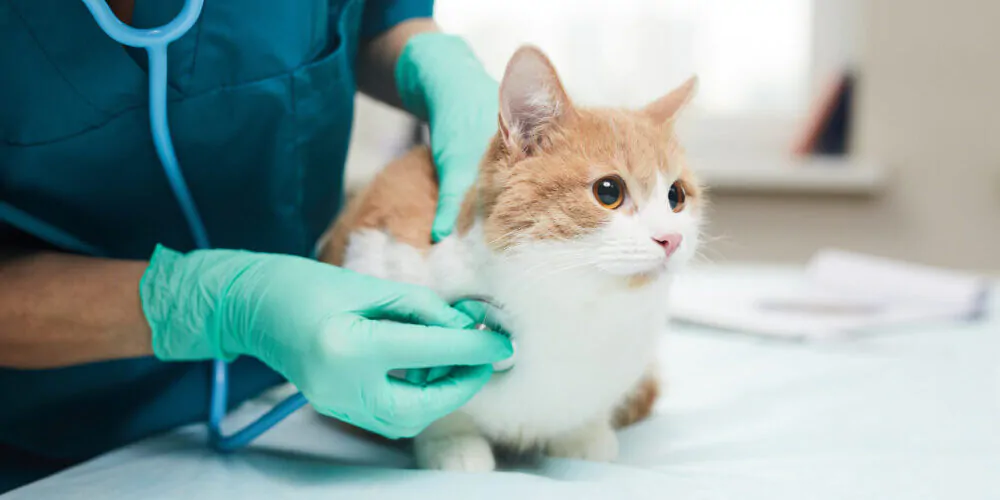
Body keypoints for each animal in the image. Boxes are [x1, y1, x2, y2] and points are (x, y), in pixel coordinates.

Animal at [318, 45, 704, 470]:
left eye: (675, 196)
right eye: (608, 191)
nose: (671, 238)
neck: (567, 305)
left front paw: (582, 436)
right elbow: (433, 410)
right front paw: (453, 444)